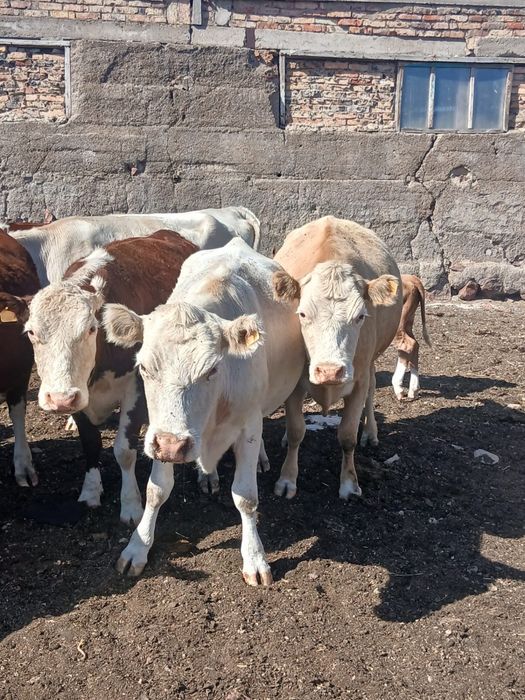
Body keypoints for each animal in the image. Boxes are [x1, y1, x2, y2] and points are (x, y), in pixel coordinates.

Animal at [25, 231, 198, 524]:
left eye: (91, 329)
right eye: (31, 332)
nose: (58, 399)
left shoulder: (136, 388)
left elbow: (124, 451)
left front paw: (130, 505)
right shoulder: (79, 393)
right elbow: (90, 442)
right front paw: (91, 491)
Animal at [102, 238, 305, 583]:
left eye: (211, 370)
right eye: (144, 367)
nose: (173, 446)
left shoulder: (248, 424)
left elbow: (246, 497)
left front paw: (255, 558)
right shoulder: (161, 432)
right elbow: (156, 491)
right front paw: (137, 548)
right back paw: (206, 474)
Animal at [273, 216, 403, 501]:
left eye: (360, 316)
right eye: (302, 314)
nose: (330, 371)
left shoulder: (358, 380)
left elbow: (347, 436)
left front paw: (349, 483)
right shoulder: (294, 386)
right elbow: (297, 431)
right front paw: (287, 479)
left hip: (371, 363)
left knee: (372, 391)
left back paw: (371, 433)